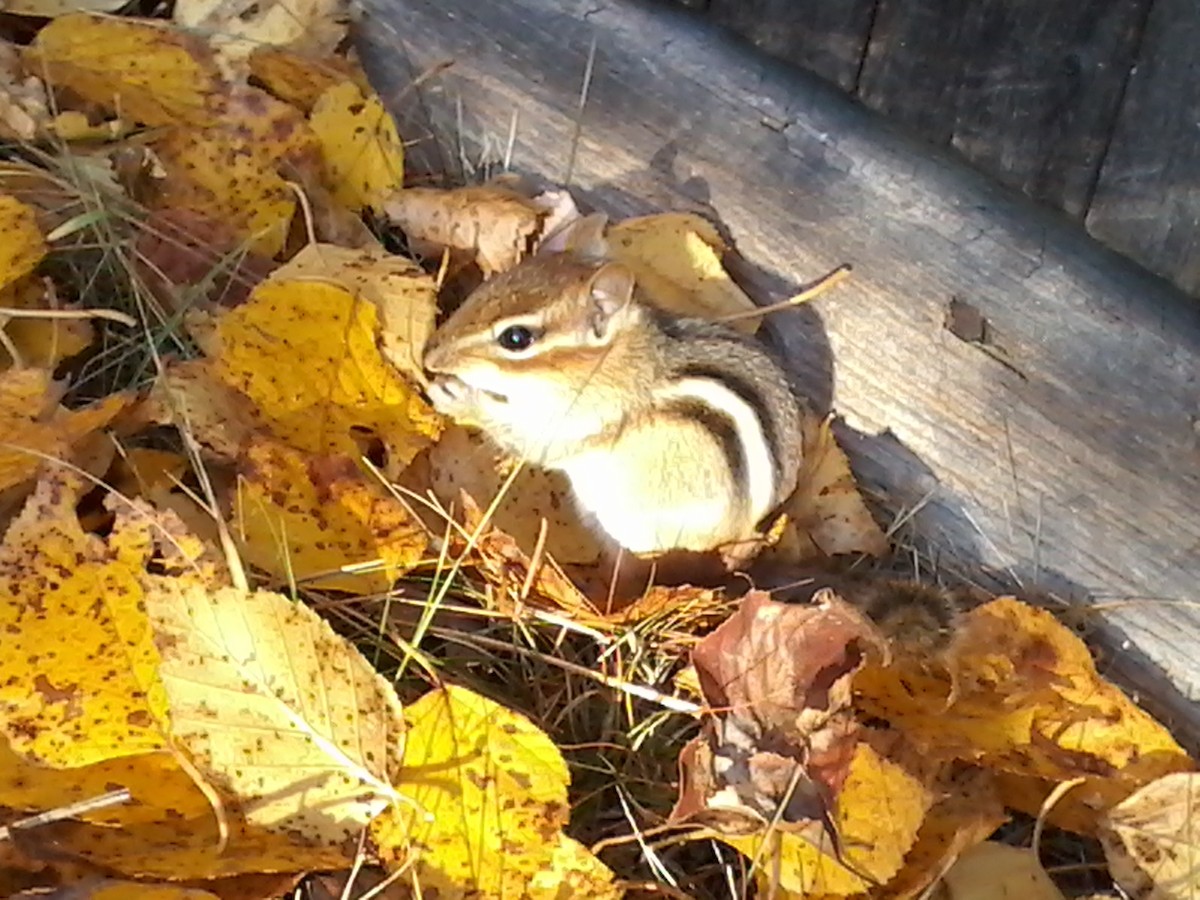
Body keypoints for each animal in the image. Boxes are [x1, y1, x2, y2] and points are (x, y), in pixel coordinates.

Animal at [422, 216, 806, 558]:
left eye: (516, 338)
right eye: (492, 284)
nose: (430, 356)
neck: (609, 363)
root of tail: (747, 532)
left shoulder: (574, 424)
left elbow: (524, 440)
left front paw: (458, 397)